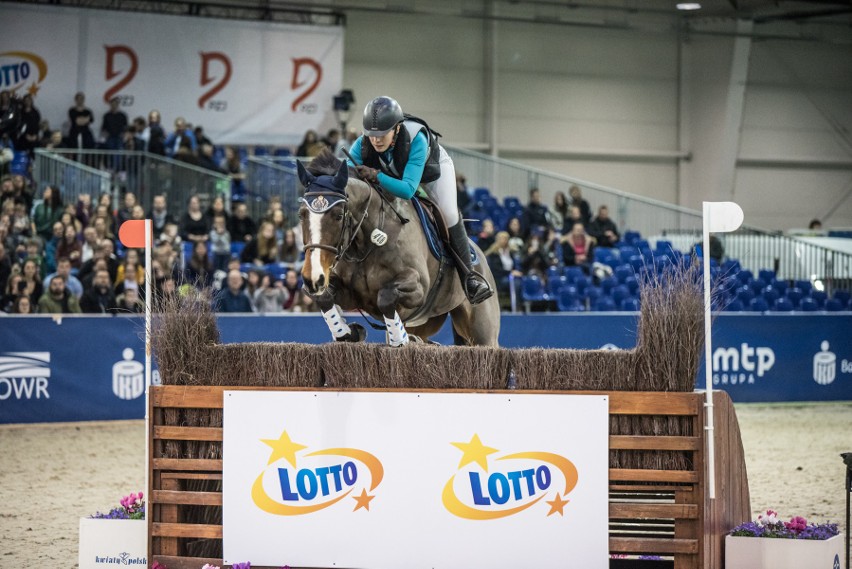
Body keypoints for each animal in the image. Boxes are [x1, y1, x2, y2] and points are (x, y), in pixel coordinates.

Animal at [298, 150, 500, 346]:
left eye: (339, 215)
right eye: (301, 214)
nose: (313, 279)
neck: (366, 244)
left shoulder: (418, 288)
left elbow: (386, 297)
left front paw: (399, 339)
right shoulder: (347, 294)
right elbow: (324, 298)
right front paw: (348, 332)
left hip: (481, 333)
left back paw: (475, 285)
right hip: (424, 322)